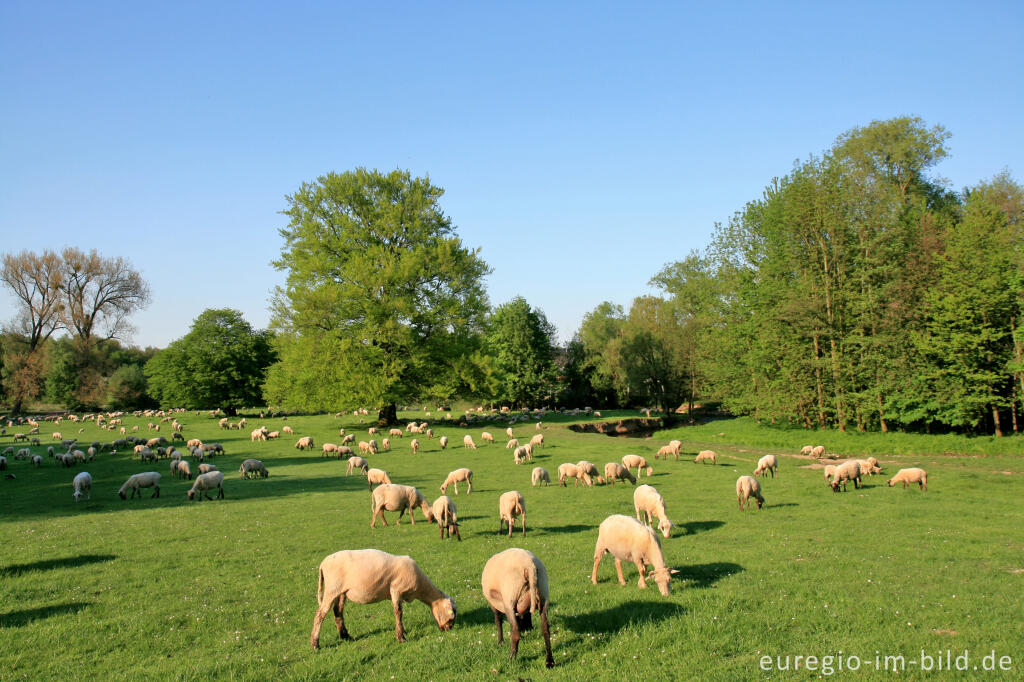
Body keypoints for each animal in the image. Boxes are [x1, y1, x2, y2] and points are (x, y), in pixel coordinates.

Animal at [307, 548, 456, 647]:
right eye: (451, 617)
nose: (448, 629)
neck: (421, 588)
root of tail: (323, 564)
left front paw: (402, 632)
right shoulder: (396, 590)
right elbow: (398, 613)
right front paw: (401, 637)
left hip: (341, 591)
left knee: (337, 611)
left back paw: (345, 636)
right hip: (332, 588)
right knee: (320, 614)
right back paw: (315, 644)